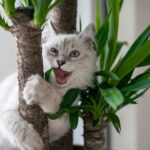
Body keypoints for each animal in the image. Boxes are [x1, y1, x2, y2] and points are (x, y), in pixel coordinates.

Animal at [0, 22, 97, 150]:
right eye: (53, 50)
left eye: (75, 54)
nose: (60, 62)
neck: (58, 89)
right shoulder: (7, 111)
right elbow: (17, 126)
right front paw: (34, 143)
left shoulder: (64, 118)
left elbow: (55, 104)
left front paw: (37, 88)